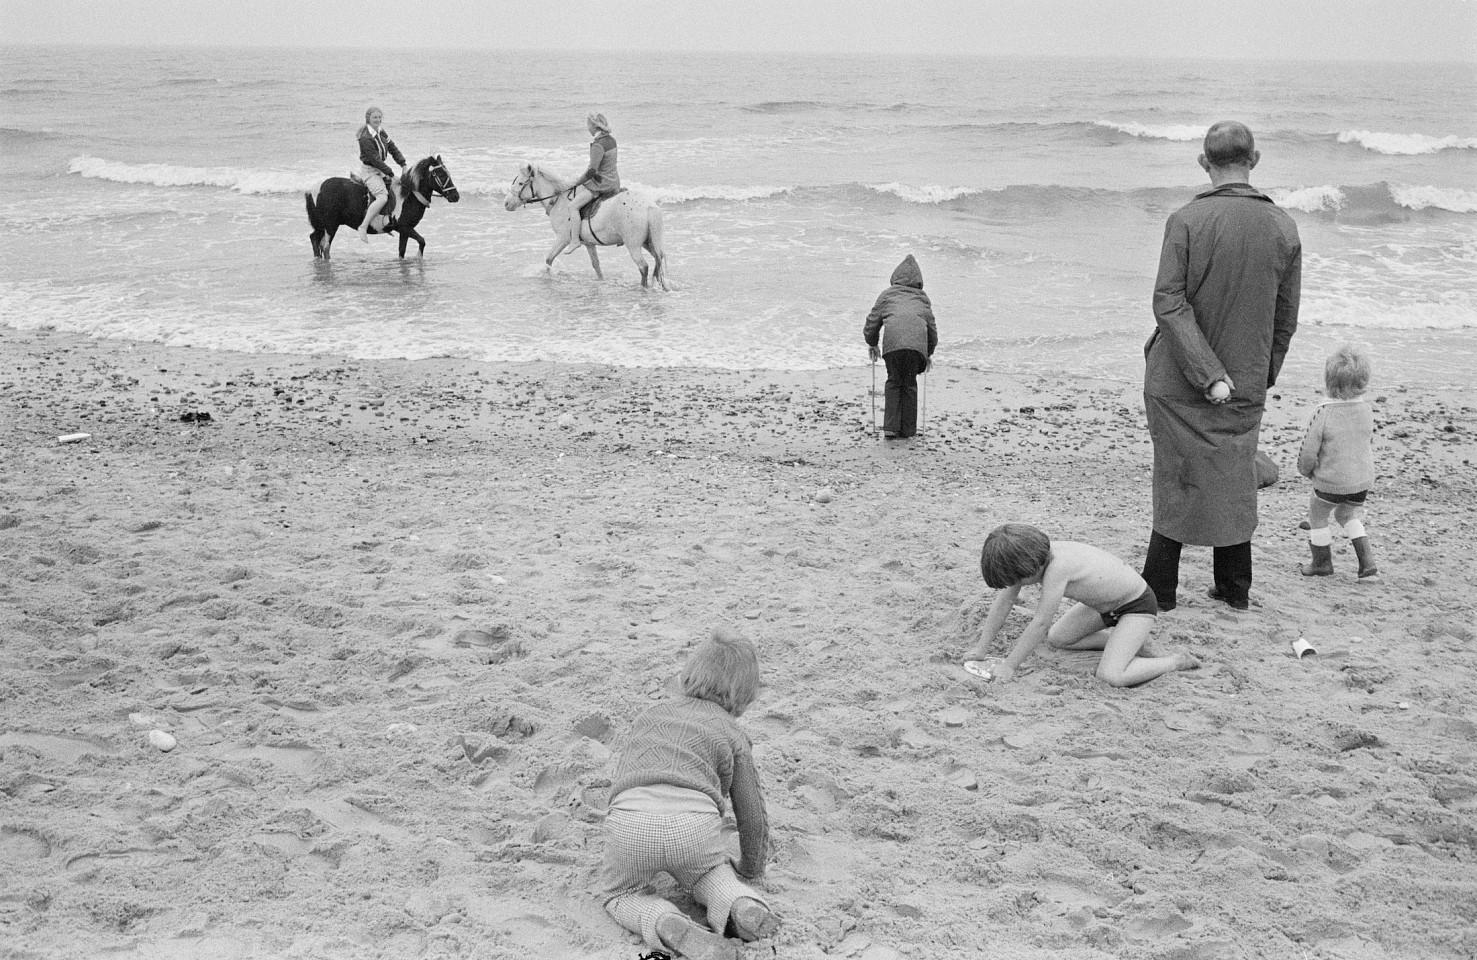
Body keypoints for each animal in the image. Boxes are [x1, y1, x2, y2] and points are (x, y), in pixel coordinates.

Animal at [302, 157, 457, 261]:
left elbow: (402, 251)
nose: (456, 196)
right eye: (440, 175)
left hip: (321, 225)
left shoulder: (404, 231)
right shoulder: (405, 227)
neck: (408, 195)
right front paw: (418, 257)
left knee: (314, 238)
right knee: (325, 246)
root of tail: (314, 189)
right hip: (330, 226)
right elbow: (422, 241)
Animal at [508, 162, 670, 289]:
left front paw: (547, 275)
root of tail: (649, 206)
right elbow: (596, 265)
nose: (506, 203)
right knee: (658, 261)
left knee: (643, 267)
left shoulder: (563, 239)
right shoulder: (589, 244)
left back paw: (643, 287)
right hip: (648, 242)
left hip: (634, 245)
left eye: (520, 183)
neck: (559, 200)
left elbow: (549, 259)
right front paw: (600, 282)